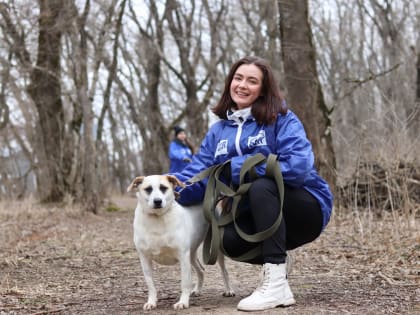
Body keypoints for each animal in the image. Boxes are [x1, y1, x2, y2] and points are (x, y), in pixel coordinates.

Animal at [126, 175, 235, 312]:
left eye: (163, 188)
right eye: (148, 189)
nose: (157, 201)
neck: (158, 219)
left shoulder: (183, 257)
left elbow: (185, 282)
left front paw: (183, 302)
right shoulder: (144, 259)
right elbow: (150, 285)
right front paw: (151, 302)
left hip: (215, 249)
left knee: (224, 271)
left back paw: (229, 290)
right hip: (191, 254)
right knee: (201, 270)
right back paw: (197, 290)